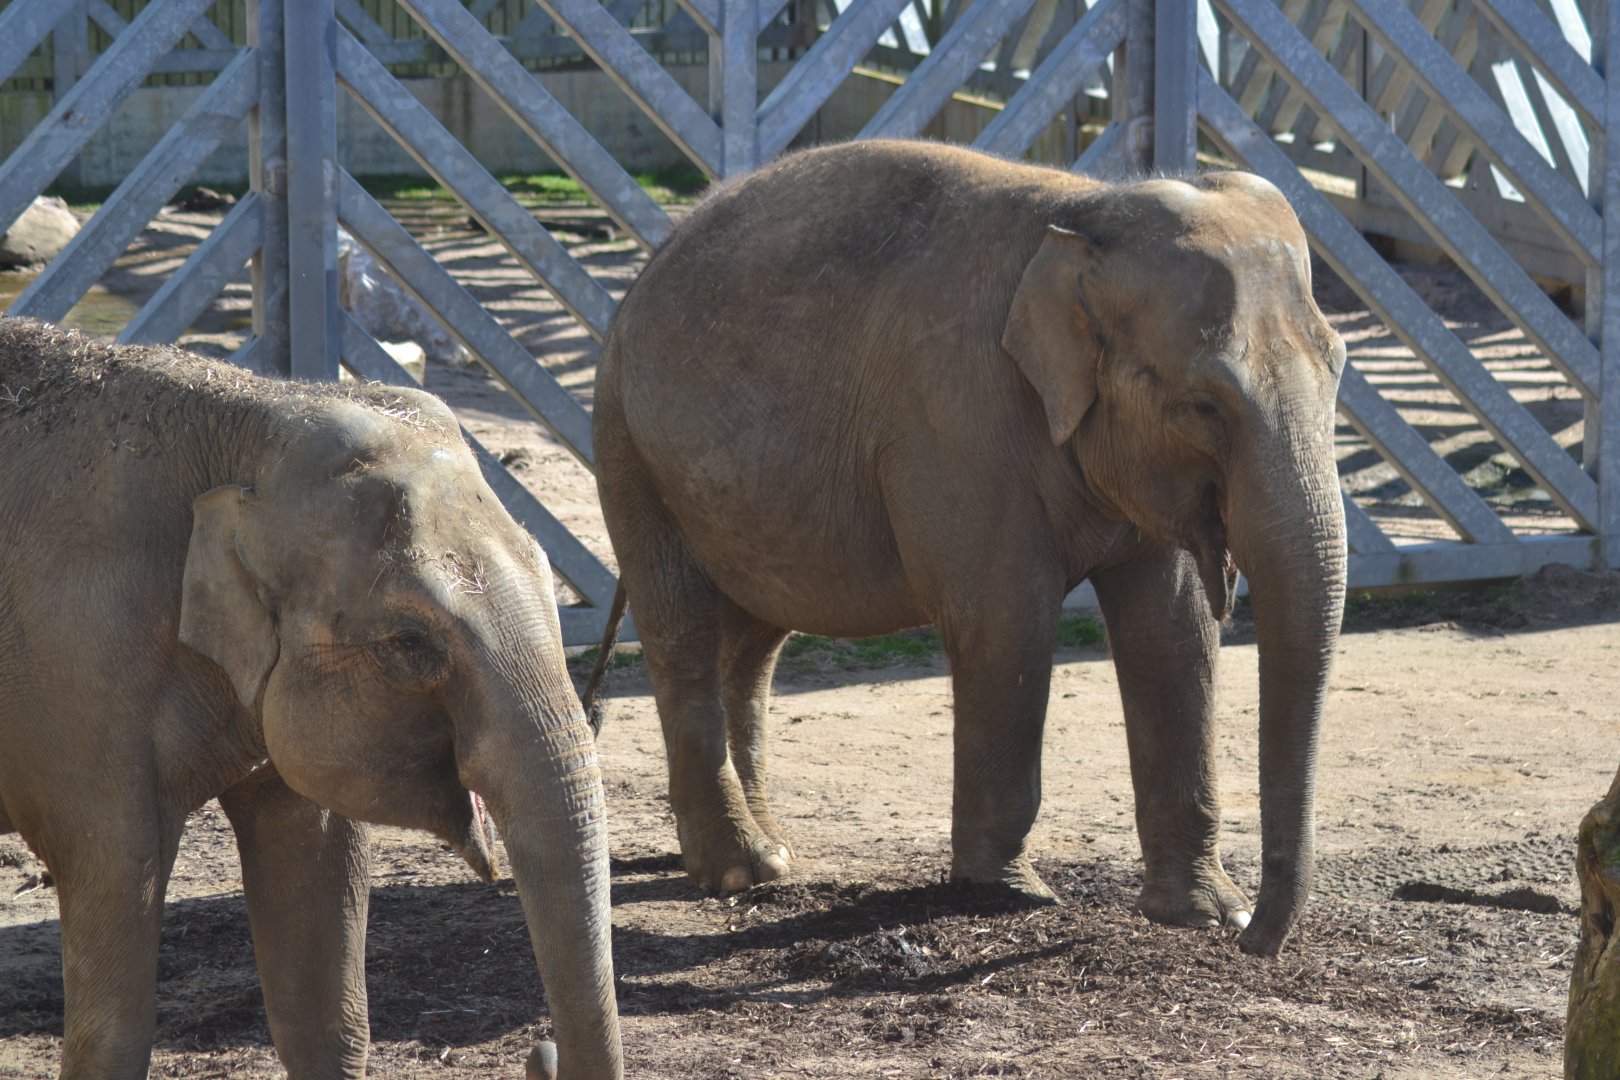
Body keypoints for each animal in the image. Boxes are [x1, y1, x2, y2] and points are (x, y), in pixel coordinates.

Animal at [0, 318, 621, 1079]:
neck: (252, 427)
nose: (542, 1050)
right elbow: (113, 984)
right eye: (410, 643)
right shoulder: (78, 680)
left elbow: (324, 983)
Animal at [585, 139, 1347, 957]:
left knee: (754, 639)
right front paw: (1011, 896)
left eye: (1337, 369)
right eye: (1204, 405)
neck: (1085, 215)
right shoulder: (957, 420)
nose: (1254, 944)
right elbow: (1005, 622)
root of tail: (646, 270)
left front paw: (1202, 913)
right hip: (628, 447)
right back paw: (739, 871)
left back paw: (777, 855)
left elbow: (1172, 633)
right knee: (682, 630)